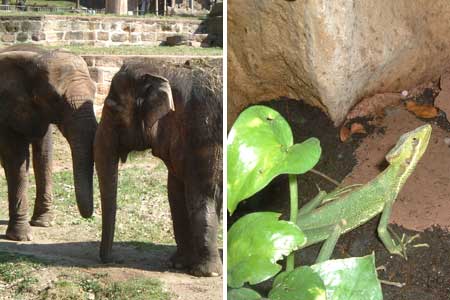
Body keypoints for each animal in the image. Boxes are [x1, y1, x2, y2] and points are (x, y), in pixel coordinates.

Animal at [0, 47, 97, 241]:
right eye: (56, 99)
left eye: (95, 91)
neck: (34, 57)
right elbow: (16, 160)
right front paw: (21, 237)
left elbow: (44, 155)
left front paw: (43, 223)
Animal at [95, 60, 221, 276]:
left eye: (113, 109)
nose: (112, 259)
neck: (163, 70)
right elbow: (175, 195)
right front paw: (177, 264)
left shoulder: (205, 134)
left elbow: (203, 195)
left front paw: (205, 273)